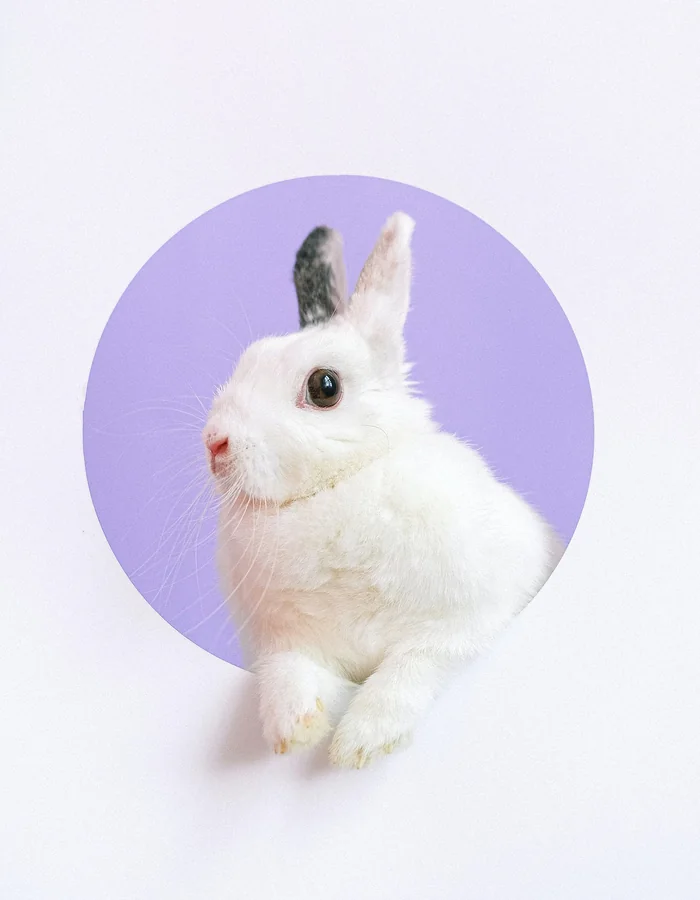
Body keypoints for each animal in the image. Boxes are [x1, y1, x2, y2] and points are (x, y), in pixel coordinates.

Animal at [202, 212, 564, 768]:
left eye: (324, 387)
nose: (214, 442)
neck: (338, 487)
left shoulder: (467, 622)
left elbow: (410, 669)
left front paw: (361, 742)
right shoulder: (284, 642)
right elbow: (288, 673)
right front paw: (294, 730)